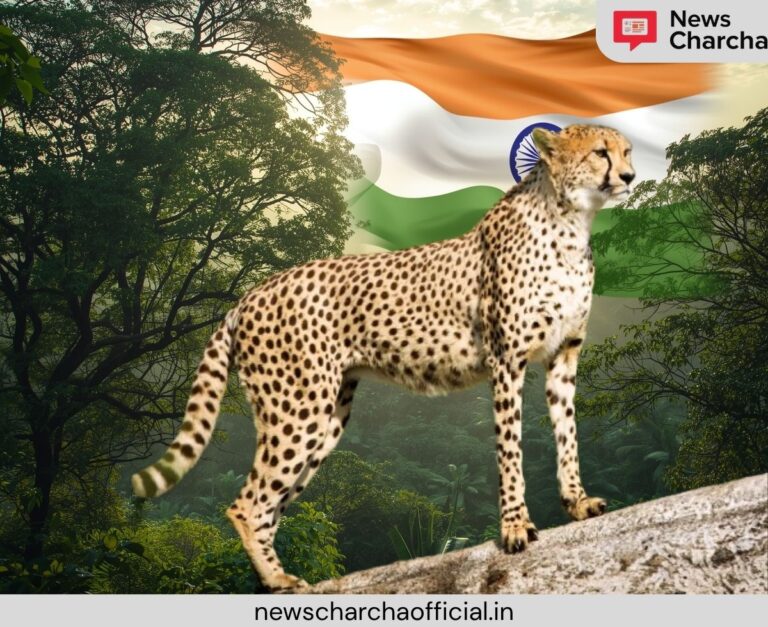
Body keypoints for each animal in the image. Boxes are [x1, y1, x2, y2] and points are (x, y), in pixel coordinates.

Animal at [132, 123, 636, 592]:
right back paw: (279, 579)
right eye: (600, 153)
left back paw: (273, 581)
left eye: (627, 151)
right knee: (247, 504)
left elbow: (567, 436)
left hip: (325, 419)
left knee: (271, 506)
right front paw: (515, 527)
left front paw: (577, 503)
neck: (569, 223)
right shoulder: (506, 361)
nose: (630, 176)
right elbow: (510, 451)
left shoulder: (563, 359)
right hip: (297, 410)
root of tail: (250, 293)